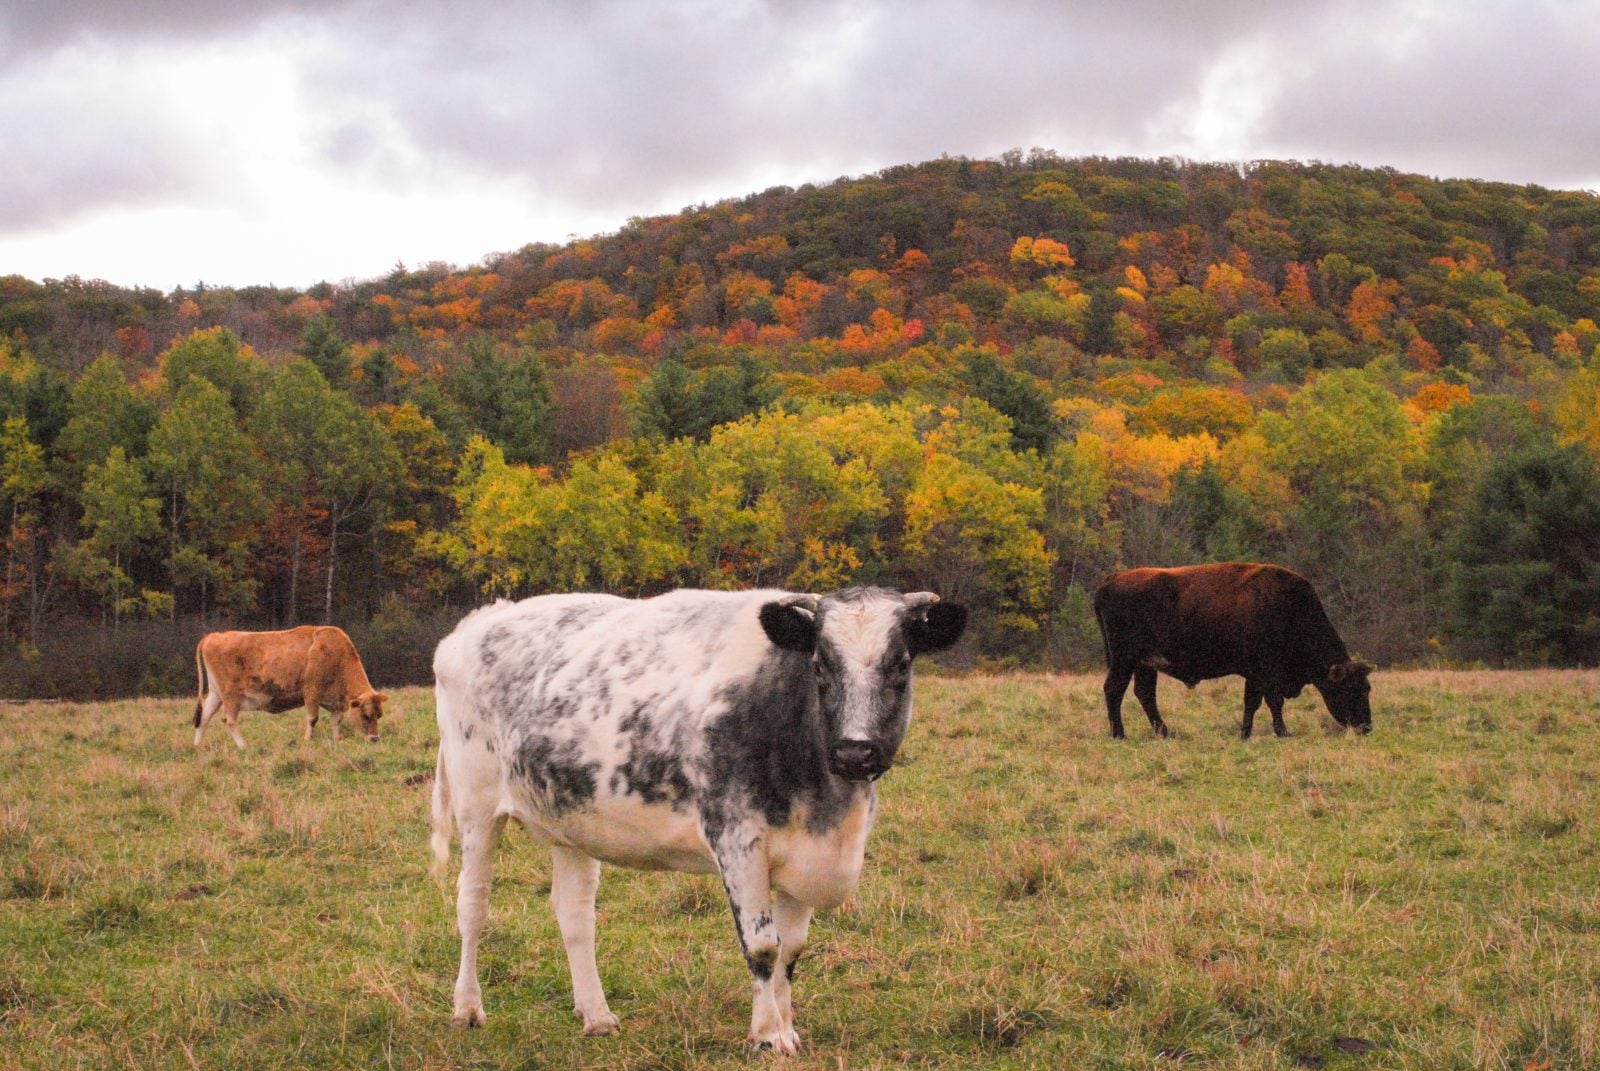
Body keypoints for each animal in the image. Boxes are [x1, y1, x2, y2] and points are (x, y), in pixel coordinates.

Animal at [193, 626, 389, 748]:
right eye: (366, 715)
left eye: (379, 715)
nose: (374, 739)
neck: (337, 654)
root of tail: (214, 636)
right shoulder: (311, 692)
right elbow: (313, 719)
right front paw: (307, 740)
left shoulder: (334, 701)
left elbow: (336, 720)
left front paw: (337, 740)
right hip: (231, 696)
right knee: (229, 720)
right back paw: (243, 746)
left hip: (215, 694)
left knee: (203, 718)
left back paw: (197, 747)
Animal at [428, 586, 967, 1054]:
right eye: (820, 664)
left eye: (901, 664)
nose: (855, 751)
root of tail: (482, 619)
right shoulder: (736, 838)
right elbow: (763, 946)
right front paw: (768, 1035)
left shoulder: (806, 853)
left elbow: (792, 949)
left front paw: (788, 1027)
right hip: (476, 805)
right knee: (472, 904)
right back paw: (468, 1008)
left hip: (570, 818)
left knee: (574, 913)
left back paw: (596, 1016)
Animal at [1092, 562, 1373, 740]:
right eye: (1349, 688)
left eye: (1367, 688)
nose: (1366, 726)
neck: (1288, 609)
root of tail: (1112, 579)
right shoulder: (1265, 672)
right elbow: (1273, 701)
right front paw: (1283, 732)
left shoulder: (1253, 674)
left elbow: (1252, 702)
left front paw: (1245, 733)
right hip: (1124, 659)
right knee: (1114, 690)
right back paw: (1119, 734)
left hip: (1145, 664)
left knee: (1145, 694)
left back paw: (1165, 732)